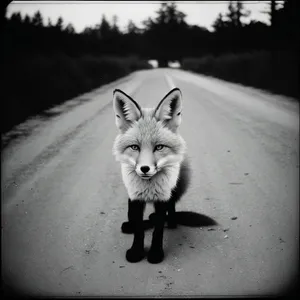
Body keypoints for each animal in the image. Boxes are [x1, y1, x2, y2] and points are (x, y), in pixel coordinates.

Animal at [112, 86, 190, 262]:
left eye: (159, 147)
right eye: (135, 147)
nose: (145, 168)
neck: (148, 188)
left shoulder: (162, 197)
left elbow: (158, 230)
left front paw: (155, 253)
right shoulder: (135, 198)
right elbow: (139, 228)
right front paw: (136, 251)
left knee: (169, 215)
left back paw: (167, 221)